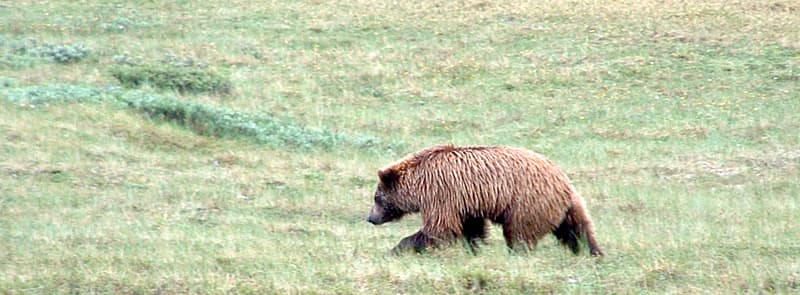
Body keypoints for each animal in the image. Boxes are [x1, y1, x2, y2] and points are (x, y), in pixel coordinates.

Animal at [366, 144, 604, 256]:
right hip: (564, 206)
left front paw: (397, 248)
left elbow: (439, 228)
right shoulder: (466, 203)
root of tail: (562, 180)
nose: (370, 218)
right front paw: (474, 247)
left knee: (519, 233)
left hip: (528, 202)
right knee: (577, 229)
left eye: (377, 198)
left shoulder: (441, 193)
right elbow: (471, 228)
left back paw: (516, 253)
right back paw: (592, 252)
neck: (419, 183)